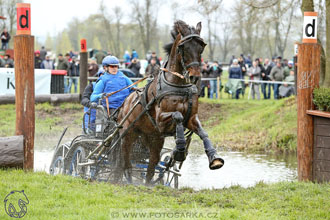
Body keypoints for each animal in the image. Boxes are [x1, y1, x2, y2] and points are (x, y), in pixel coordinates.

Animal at [115, 20, 224, 185]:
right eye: (183, 47)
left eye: (201, 47)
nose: (195, 77)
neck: (178, 85)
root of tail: (125, 102)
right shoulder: (160, 120)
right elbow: (178, 115)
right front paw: (179, 149)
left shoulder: (191, 118)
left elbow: (202, 132)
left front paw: (214, 157)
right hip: (128, 134)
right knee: (126, 162)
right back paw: (129, 181)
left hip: (153, 139)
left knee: (151, 165)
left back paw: (148, 184)